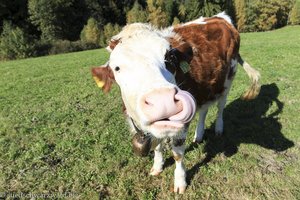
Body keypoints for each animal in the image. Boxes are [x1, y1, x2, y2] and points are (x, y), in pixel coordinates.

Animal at [91, 12, 260, 194]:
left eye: (170, 58)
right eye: (116, 68)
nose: (162, 101)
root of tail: (220, 17)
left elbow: (178, 154)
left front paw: (180, 182)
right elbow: (157, 147)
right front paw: (157, 167)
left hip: (228, 78)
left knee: (221, 107)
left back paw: (219, 128)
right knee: (204, 110)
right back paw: (199, 135)